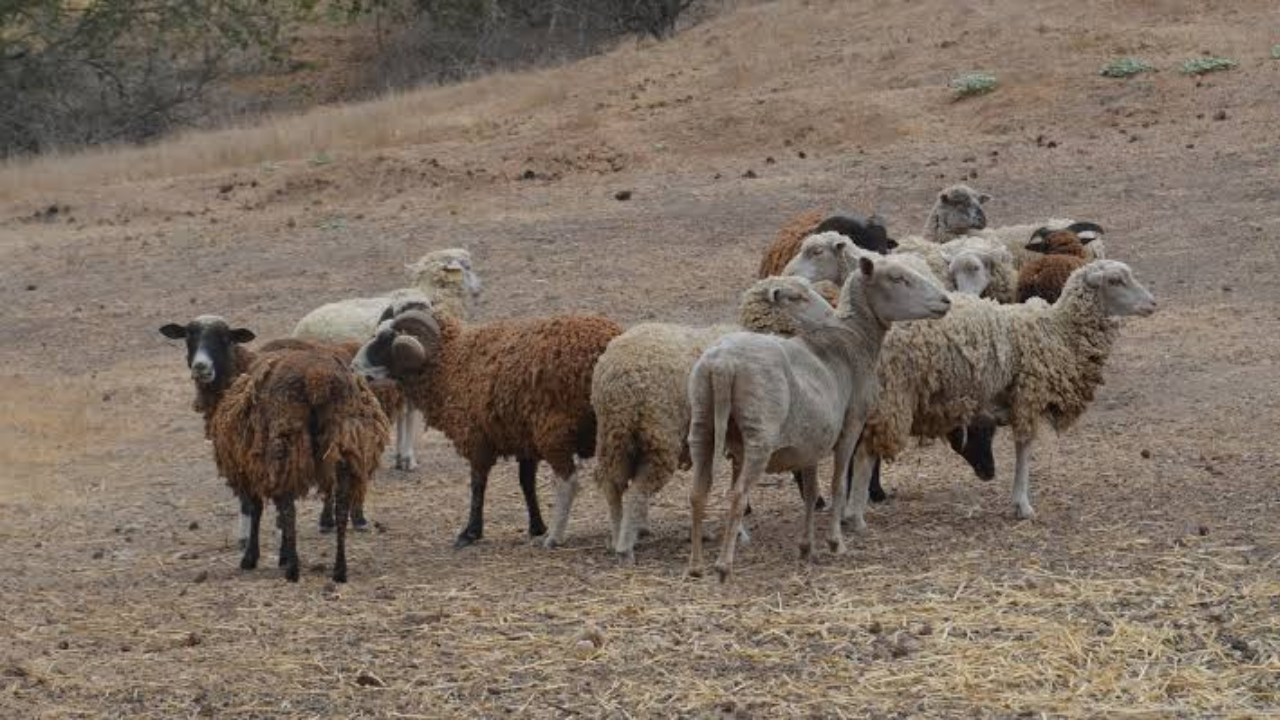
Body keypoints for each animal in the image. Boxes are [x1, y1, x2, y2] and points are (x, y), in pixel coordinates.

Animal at [159, 317, 390, 583]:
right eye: (188, 336)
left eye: (225, 338)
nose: (201, 367)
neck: (238, 368)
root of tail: (318, 378)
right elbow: (276, 514)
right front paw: (282, 554)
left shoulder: (245, 461)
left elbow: (255, 508)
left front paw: (253, 557)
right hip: (344, 441)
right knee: (340, 505)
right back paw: (339, 570)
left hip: (285, 444)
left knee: (290, 508)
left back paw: (294, 570)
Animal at [351, 309, 622, 549]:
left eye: (387, 340)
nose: (354, 367)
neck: (451, 364)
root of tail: (604, 345)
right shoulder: (523, 439)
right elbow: (526, 483)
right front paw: (536, 526)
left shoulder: (477, 438)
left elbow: (478, 484)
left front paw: (470, 533)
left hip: (555, 433)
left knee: (569, 482)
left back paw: (555, 538)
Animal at [591, 276, 836, 564]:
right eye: (798, 297)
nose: (832, 316)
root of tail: (619, 373)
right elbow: (737, 486)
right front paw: (739, 532)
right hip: (658, 433)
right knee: (639, 490)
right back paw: (625, 548)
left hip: (616, 432)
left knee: (612, 485)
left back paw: (617, 535)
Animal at [686, 255, 952, 581]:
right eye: (898, 278)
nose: (946, 300)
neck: (855, 339)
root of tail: (722, 364)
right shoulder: (852, 424)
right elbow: (838, 483)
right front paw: (836, 542)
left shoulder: (811, 440)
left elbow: (812, 492)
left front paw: (806, 547)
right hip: (759, 435)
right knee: (737, 495)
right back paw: (723, 566)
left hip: (702, 425)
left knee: (697, 494)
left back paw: (696, 566)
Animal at [841, 259, 1156, 531]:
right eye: (1115, 281)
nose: (1153, 303)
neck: (1058, 330)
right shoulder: (1028, 397)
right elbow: (1024, 449)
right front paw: (1022, 505)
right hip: (893, 395)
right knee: (865, 455)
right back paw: (855, 516)